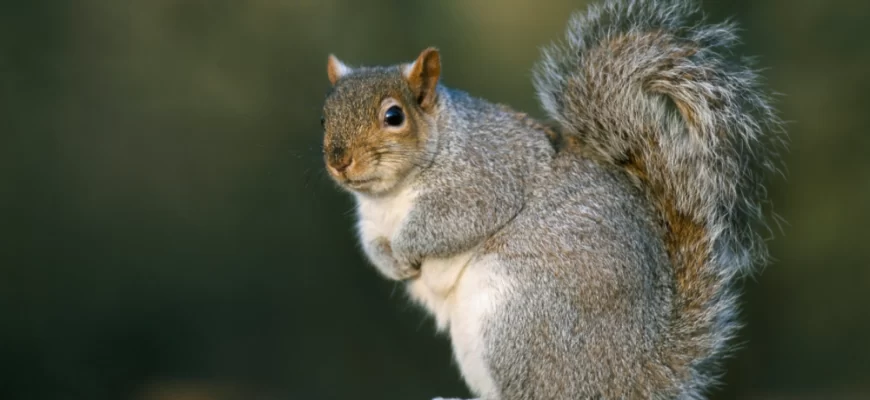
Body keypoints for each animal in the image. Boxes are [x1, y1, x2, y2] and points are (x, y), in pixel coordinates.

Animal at [324, 0, 788, 396]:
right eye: (325, 113)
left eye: (394, 116)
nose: (338, 160)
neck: (391, 195)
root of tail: (631, 377)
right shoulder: (370, 219)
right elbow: (371, 244)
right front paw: (391, 262)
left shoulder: (485, 178)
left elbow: (453, 221)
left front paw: (406, 249)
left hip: (519, 322)